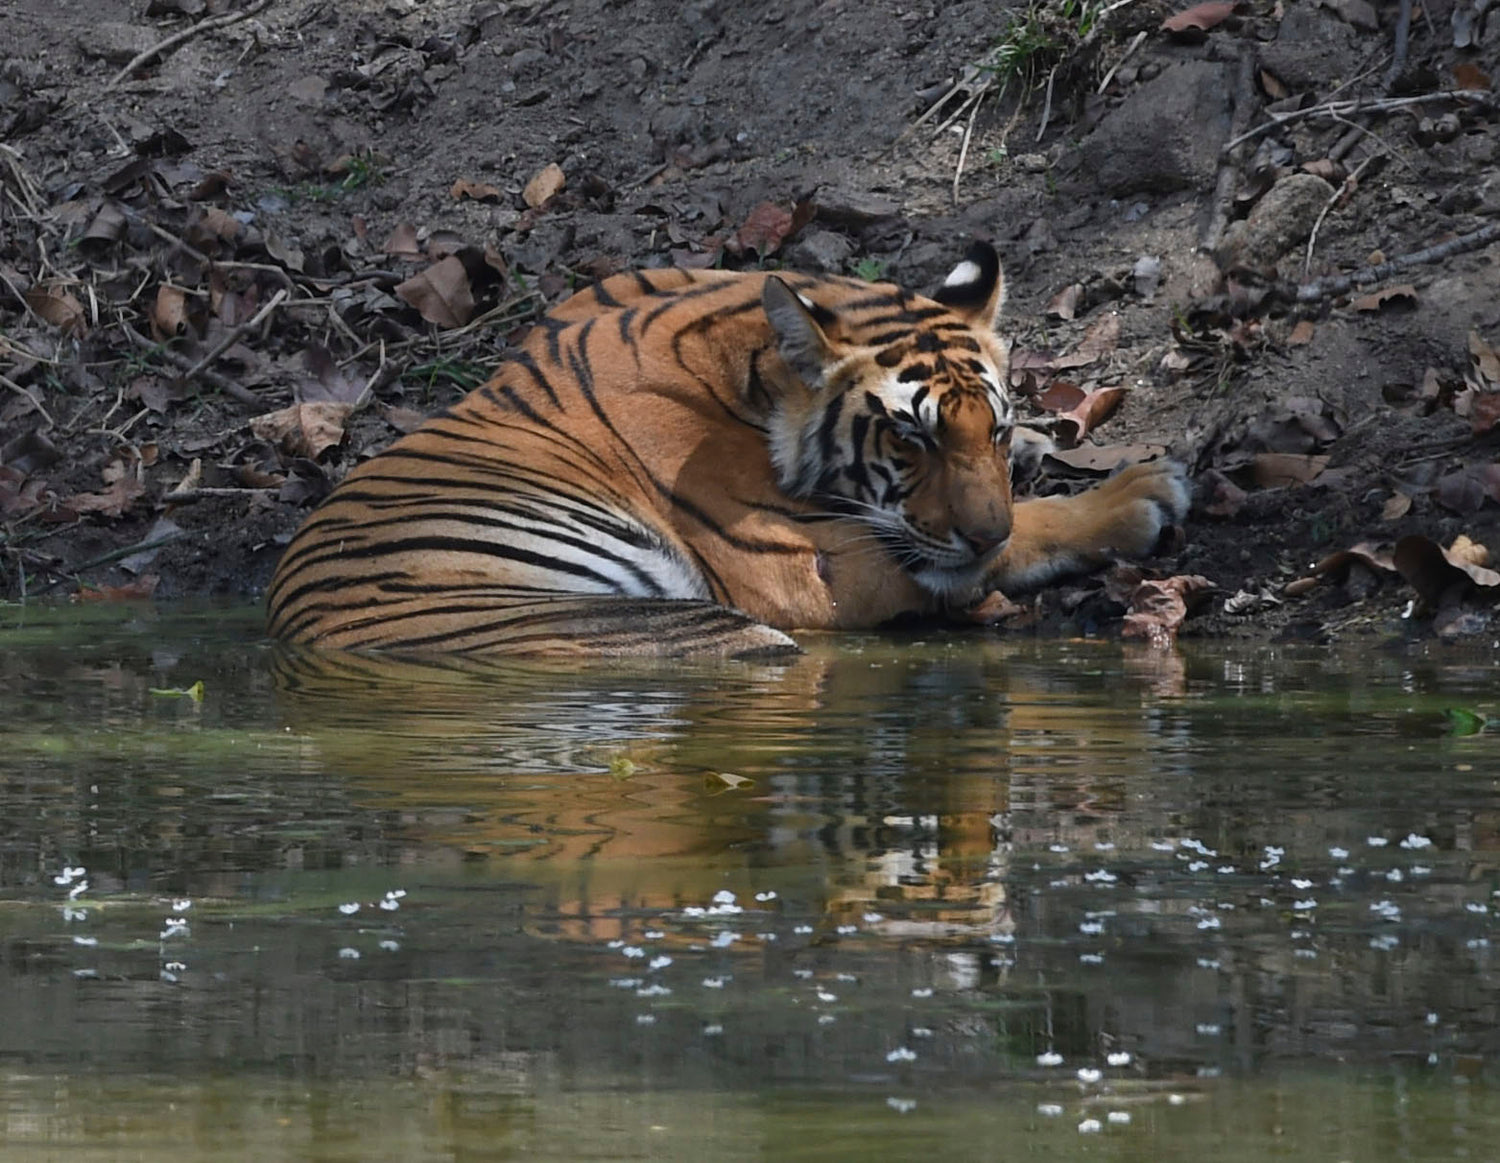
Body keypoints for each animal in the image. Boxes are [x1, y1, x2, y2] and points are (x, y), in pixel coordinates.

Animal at [264, 241, 1188, 660]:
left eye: (988, 429)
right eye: (908, 435)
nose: (981, 532)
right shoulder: (812, 566)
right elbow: (1018, 534)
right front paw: (1141, 491)